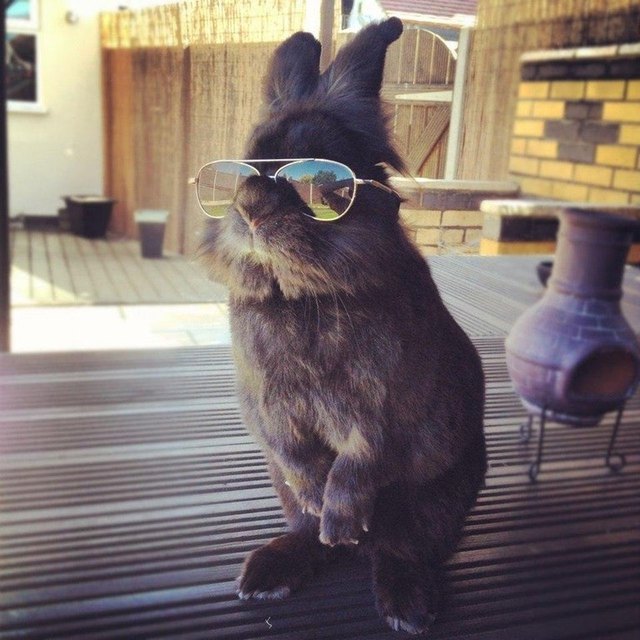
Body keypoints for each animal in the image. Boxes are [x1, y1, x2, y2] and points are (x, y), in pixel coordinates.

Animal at [198, 17, 487, 636]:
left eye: (317, 174)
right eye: (242, 168)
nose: (250, 211)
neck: (302, 297)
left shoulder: (388, 406)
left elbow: (361, 460)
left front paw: (343, 520)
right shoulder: (266, 404)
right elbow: (296, 455)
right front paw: (322, 505)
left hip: (436, 501)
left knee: (401, 547)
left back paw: (404, 602)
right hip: (282, 490)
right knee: (309, 535)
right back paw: (270, 571)